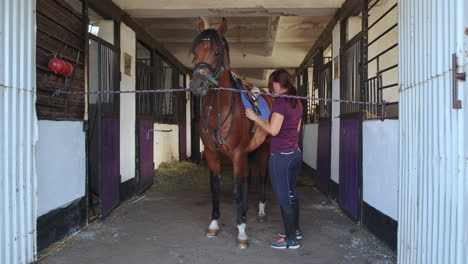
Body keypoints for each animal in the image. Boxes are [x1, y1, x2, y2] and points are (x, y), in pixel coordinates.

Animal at [189, 17, 272, 249]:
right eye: (194, 51)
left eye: (216, 51)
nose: (197, 85)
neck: (221, 108)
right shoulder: (211, 153)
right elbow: (216, 187)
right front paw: (214, 224)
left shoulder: (236, 153)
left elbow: (235, 189)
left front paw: (242, 231)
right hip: (248, 153)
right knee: (247, 180)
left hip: (263, 150)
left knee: (262, 178)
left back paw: (260, 212)